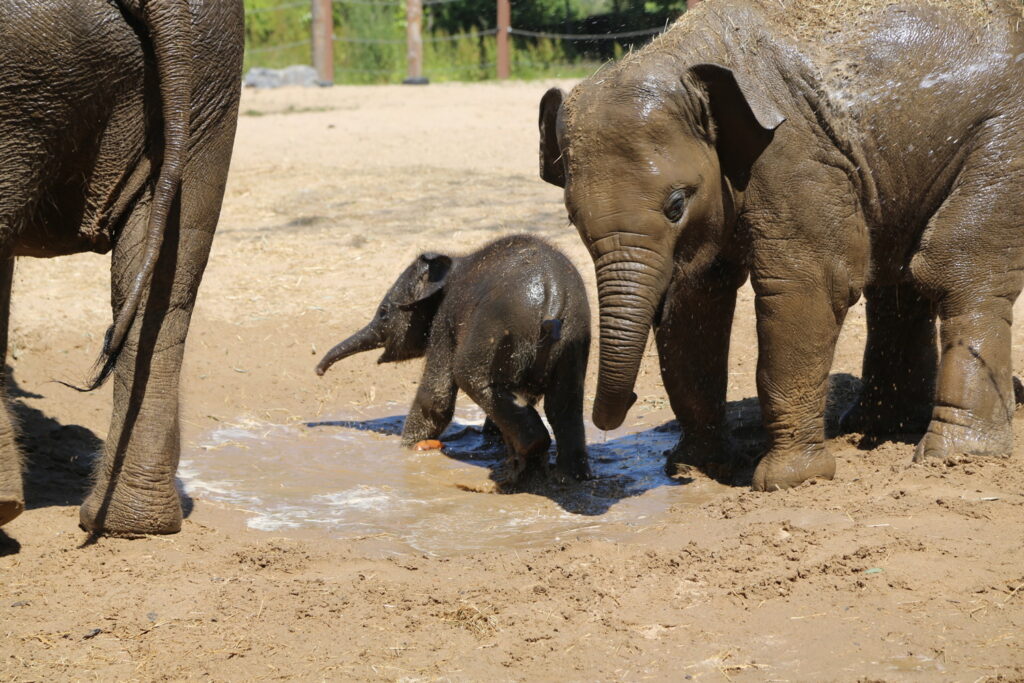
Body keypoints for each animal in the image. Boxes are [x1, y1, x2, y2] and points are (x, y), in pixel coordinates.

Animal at [316, 235, 592, 485]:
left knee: (472, 377)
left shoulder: (445, 317)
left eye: (383, 313)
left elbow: (435, 396)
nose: (319, 371)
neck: (453, 262)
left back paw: (516, 470)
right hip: (572, 337)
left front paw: (405, 451)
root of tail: (553, 295)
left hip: (501, 328)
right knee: (563, 404)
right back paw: (568, 478)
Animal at [537, 0, 1024, 491]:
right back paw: (881, 427)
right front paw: (698, 467)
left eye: (676, 204)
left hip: (1004, 140)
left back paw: (953, 456)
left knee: (956, 268)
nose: (629, 401)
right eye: (572, 218)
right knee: (897, 282)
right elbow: (696, 303)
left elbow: (811, 286)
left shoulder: (794, 154)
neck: (687, 55)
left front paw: (788, 481)